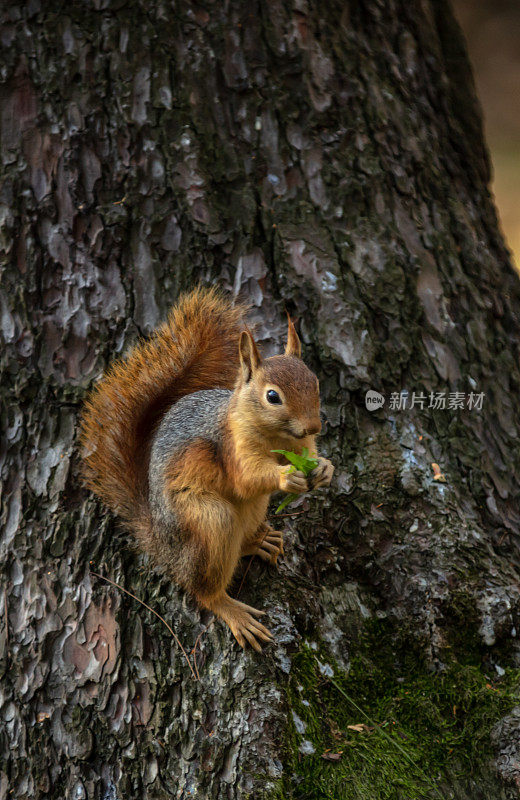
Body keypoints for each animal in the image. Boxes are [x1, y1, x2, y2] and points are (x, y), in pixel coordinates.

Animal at [79, 286, 336, 648]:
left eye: (315, 383)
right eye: (273, 396)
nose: (314, 426)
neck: (277, 437)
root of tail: (160, 545)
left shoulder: (301, 447)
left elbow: (310, 456)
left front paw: (325, 468)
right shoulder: (231, 448)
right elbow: (246, 478)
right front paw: (286, 476)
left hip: (253, 509)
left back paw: (258, 542)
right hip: (208, 519)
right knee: (203, 589)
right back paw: (232, 610)